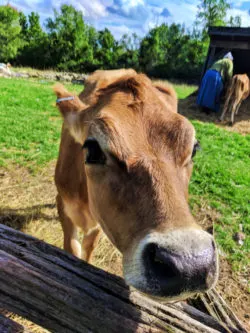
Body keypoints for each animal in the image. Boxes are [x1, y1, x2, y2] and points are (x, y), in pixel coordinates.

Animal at [53, 68, 218, 300]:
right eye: (92, 149)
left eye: (193, 149)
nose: (190, 264)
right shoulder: (63, 203)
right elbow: (71, 249)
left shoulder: (99, 222)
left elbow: (88, 248)